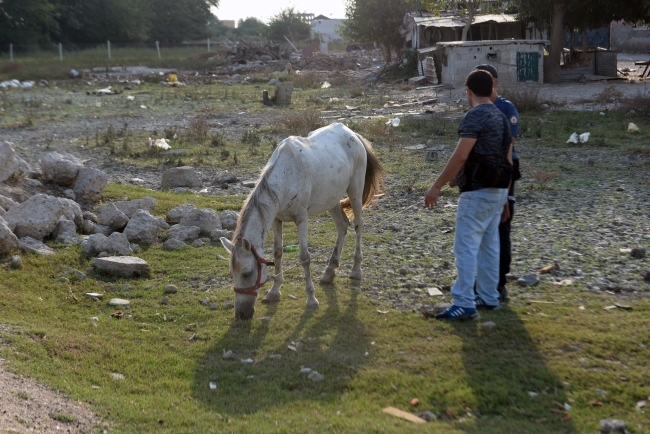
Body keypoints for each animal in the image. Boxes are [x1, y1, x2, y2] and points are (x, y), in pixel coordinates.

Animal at [221, 122, 384, 318]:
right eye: (232, 273)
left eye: (247, 273)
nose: (241, 314)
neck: (286, 175)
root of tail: (352, 133)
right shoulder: (276, 219)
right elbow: (277, 253)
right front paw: (274, 292)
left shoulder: (301, 218)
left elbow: (304, 258)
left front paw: (311, 300)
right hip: (331, 199)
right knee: (342, 225)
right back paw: (329, 271)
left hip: (355, 191)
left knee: (358, 225)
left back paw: (356, 270)